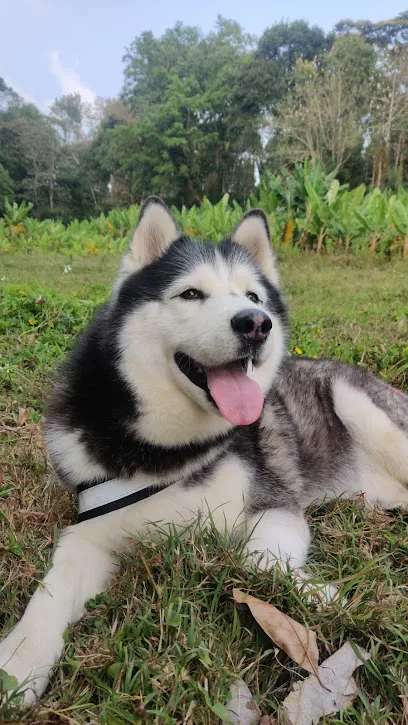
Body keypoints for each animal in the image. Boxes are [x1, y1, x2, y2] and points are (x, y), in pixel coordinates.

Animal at [0, 198, 408, 700]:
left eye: (253, 297)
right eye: (191, 294)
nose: (256, 324)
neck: (168, 449)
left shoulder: (276, 503)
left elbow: (254, 561)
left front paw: (323, 595)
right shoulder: (87, 530)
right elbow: (49, 593)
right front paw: (18, 662)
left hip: (359, 405)